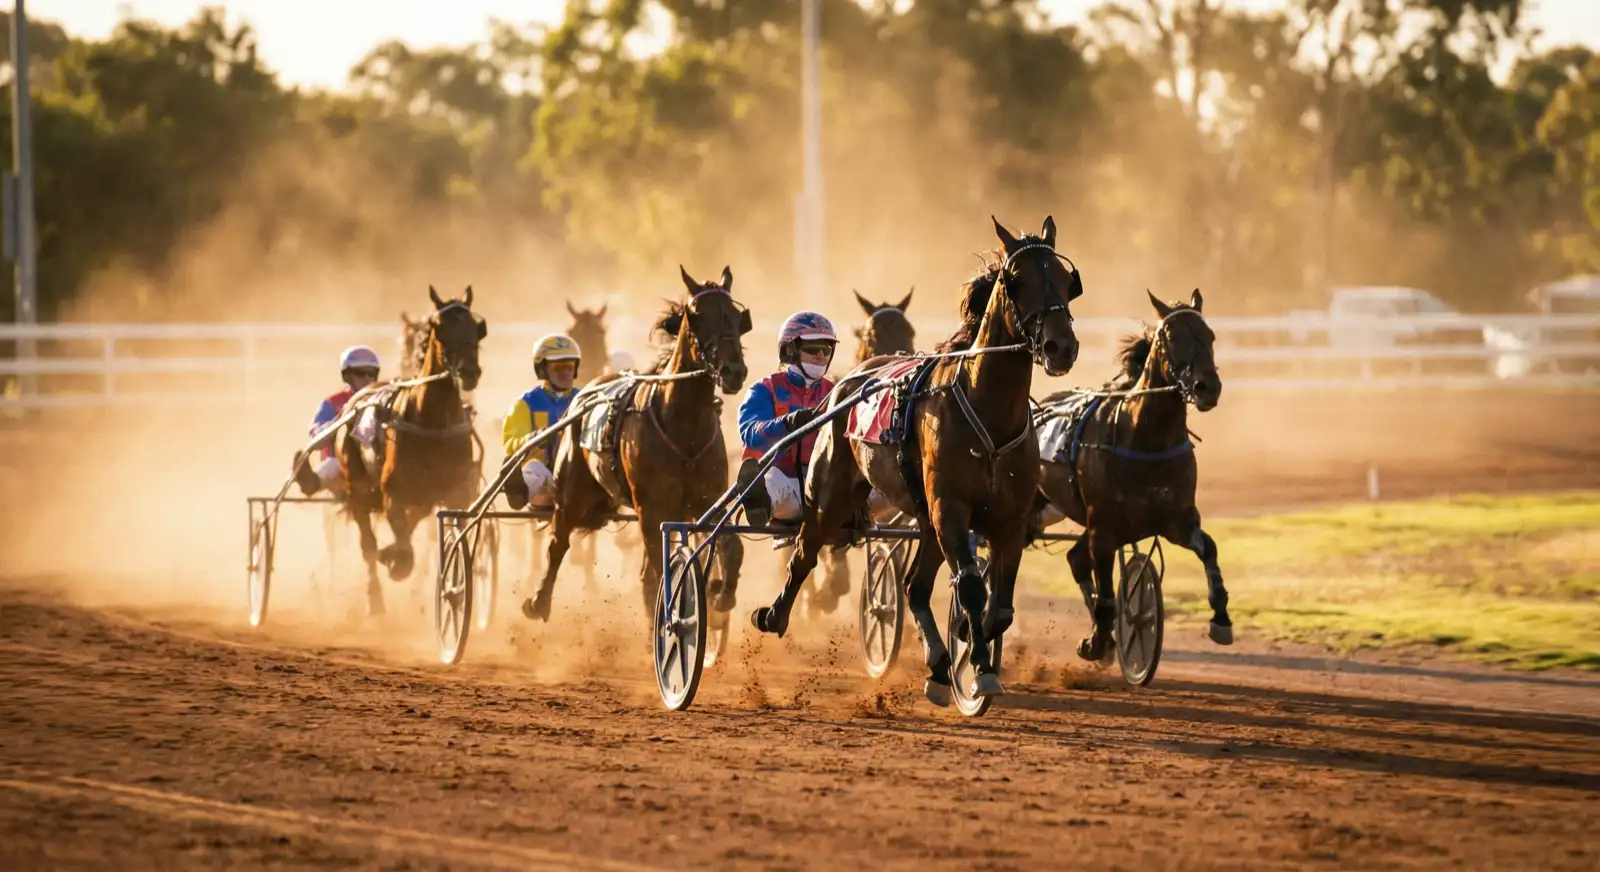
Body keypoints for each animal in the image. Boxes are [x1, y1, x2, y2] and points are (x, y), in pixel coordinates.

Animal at [339, 286, 486, 615]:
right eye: (439, 327)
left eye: (478, 327)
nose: (469, 371)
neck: (434, 423)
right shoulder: (393, 492)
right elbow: (400, 537)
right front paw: (396, 560)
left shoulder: (456, 491)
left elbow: (428, 523)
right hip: (356, 487)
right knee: (367, 543)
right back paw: (376, 600)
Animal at [523, 265, 752, 626]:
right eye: (699, 316)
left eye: (736, 316)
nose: (733, 371)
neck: (684, 427)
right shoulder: (652, 508)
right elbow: (662, 573)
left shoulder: (708, 498)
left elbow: (731, 546)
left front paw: (720, 593)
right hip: (572, 493)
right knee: (557, 544)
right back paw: (539, 600)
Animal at [750, 216, 1081, 707]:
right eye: (1016, 280)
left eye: (1064, 279)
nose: (1061, 346)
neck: (987, 410)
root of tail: (846, 383)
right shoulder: (950, 507)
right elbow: (971, 585)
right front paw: (980, 667)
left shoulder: (1009, 519)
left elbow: (1000, 606)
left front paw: (967, 637)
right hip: (832, 496)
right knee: (805, 554)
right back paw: (774, 615)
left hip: (925, 518)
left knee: (915, 586)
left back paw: (940, 667)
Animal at [1034, 289, 1232, 663]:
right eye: (1172, 336)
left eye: (1211, 336)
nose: (1207, 387)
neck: (1145, 438)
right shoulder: (1104, 527)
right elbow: (1107, 587)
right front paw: (1097, 640)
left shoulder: (1175, 520)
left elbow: (1209, 548)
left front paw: (1222, 619)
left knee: (1076, 559)